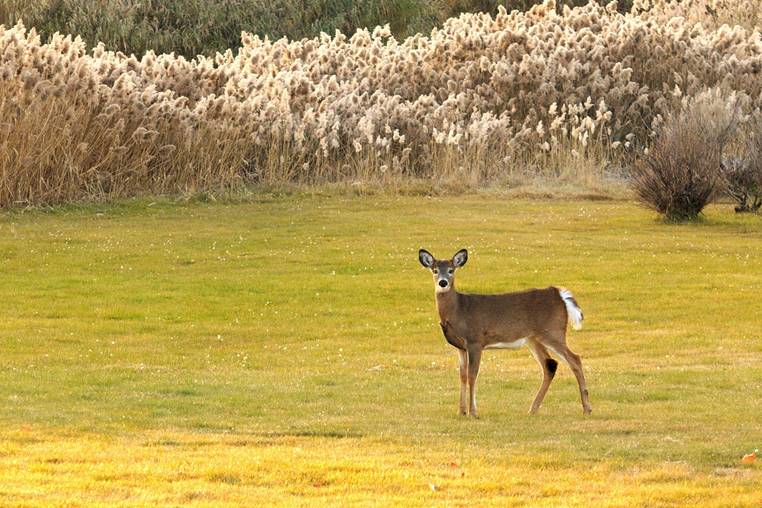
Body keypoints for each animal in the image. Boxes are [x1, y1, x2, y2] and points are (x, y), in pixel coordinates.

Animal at [418, 248, 592, 418]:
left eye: (451, 270)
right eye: (434, 270)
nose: (443, 282)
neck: (458, 310)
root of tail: (560, 294)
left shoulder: (475, 340)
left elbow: (472, 374)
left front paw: (473, 412)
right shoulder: (461, 347)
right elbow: (462, 375)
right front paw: (461, 411)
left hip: (552, 332)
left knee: (575, 359)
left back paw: (587, 408)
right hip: (533, 338)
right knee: (550, 365)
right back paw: (533, 409)